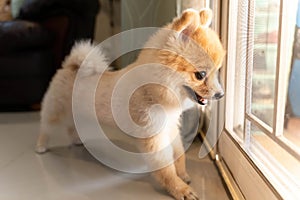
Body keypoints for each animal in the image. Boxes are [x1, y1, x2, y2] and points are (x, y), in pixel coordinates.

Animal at [35, 8, 225, 200]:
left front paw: (183, 174)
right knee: (46, 127)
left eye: (217, 72)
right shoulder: (153, 136)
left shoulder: (170, 128)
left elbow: (178, 154)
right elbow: (166, 169)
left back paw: (76, 140)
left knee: (71, 127)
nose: (221, 94)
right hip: (56, 111)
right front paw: (179, 189)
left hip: (77, 113)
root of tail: (72, 66)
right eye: (200, 75)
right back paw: (41, 146)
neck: (152, 90)